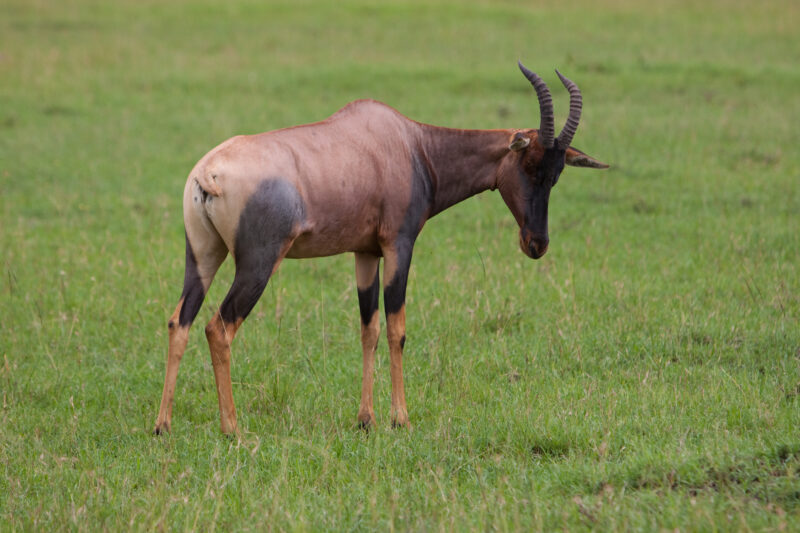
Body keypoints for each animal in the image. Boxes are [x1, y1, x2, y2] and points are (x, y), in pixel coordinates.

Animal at [153, 62, 608, 435]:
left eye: (558, 172)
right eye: (529, 165)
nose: (537, 244)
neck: (410, 144)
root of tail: (208, 173)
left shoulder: (366, 253)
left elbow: (368, 329)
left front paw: (365, 419)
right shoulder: (398, 246)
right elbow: (396, 329)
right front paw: (400, 419)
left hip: (203, 256)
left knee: (180, 320)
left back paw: (163, 425)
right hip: (258, 264)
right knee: (218, 327)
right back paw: (232, 429)